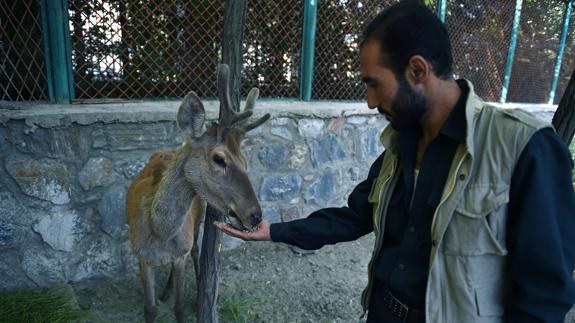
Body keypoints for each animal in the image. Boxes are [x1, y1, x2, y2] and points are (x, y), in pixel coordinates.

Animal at [126, 64, 270, 323]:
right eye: (219, 158)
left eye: (245, 161)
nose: (255, 215)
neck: (159, 234)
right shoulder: (141, 256)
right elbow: (149, 309)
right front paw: (157, 301)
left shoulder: (180, 252)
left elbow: (180, 307)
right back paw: (166, 291)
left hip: (197, 221)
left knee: (195, 250)